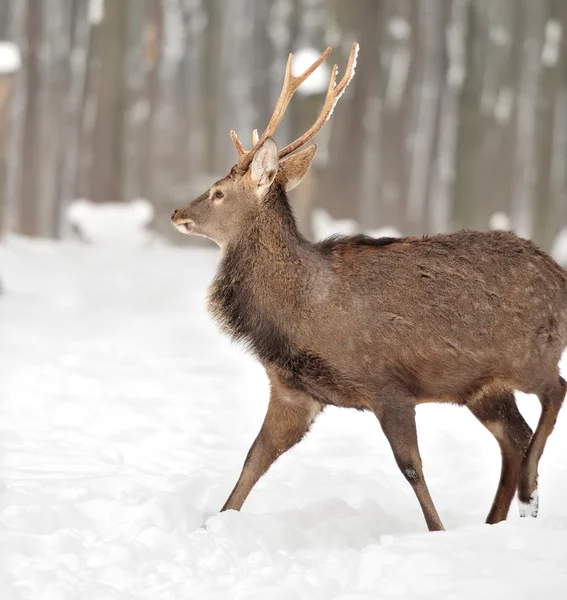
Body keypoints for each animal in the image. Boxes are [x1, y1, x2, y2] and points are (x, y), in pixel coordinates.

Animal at [171, 43, 564, 528]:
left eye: (218, 192)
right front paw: (214, 524)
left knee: (555, 391)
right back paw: (500, 518)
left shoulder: (387, 385)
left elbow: (411, 466)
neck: (299, 312)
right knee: (515, 436)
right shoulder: (293, 392)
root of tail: (562, 277)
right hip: (484, 387)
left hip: (531, 353)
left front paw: (436, 531)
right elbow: (254, 459)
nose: (176, 213)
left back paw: (528, 493)